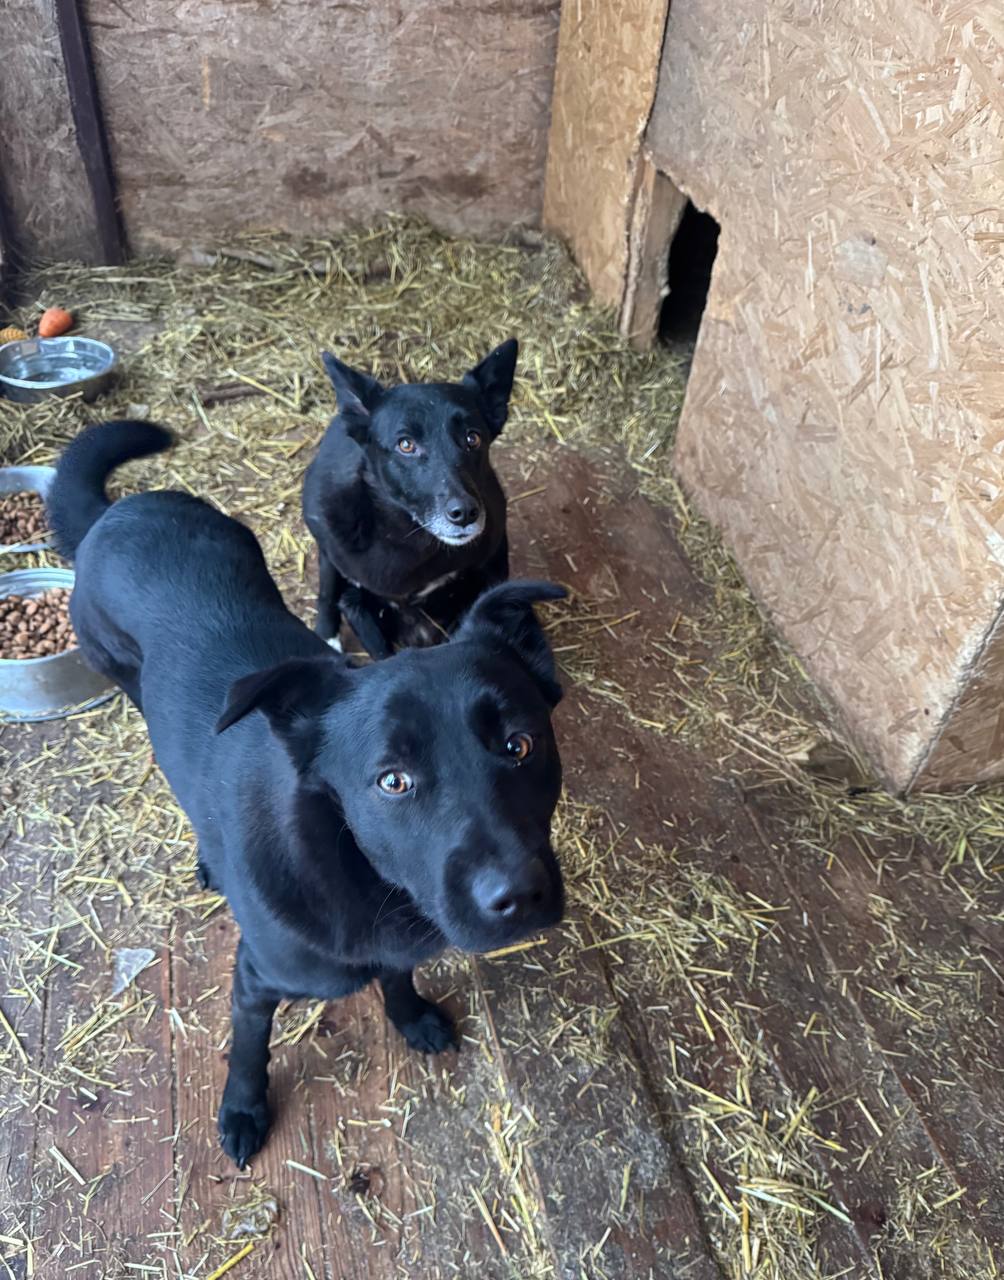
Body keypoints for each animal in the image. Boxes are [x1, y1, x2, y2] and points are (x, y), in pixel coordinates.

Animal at [48, 420, 566, 1167]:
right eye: (392, 781)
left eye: (519, 745)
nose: (519, 897)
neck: (360, 875)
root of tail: (118, 512)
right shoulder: (254, 980)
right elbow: (248, 1050)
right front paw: (242, 1111)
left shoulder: (394, 950)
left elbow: (397, 978)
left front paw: (411, 1017)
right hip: (124, 678)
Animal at [302, 340, 517, 658]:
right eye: (406, 445)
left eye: (473, 438)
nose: (465, 513)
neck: (409, 538)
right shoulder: (351, 590)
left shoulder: (490, 562)